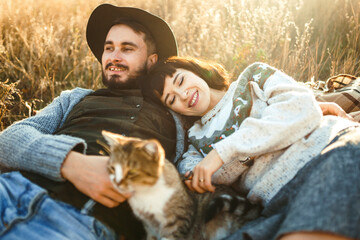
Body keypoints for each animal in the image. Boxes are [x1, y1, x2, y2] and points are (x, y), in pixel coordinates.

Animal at [101, 131, 262, 240]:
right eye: (112, 168)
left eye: (132, 172)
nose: (116, 182)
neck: (145, 195)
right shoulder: (149, 227)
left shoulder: (179, 222)